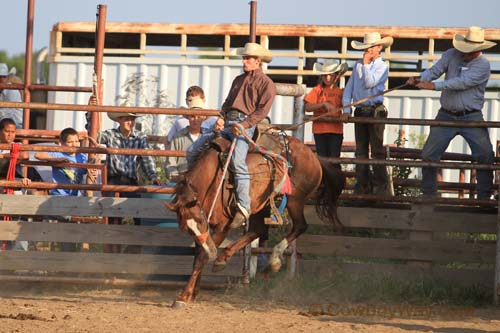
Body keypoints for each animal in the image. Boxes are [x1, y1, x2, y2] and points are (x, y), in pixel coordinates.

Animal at [166, 134, 346, 308]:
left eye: (199, 220)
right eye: (186, 228)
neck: (212, 180)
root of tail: (313, 156)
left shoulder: (222, 226)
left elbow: (201, 257)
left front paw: (183, 297)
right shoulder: (204, 234)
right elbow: (198, 255)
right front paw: (193, 292)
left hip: (295, 199)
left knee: (300, 226)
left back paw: (273, 259)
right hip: (261, 206)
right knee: (258, 230)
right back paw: (224, 259)